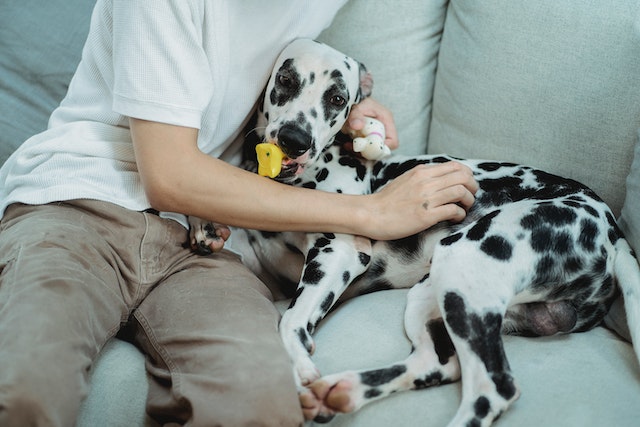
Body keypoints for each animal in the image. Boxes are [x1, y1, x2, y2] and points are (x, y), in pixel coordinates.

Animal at [189, 38, 640, 426]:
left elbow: (290, 320)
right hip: (435, 295)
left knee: (491, 389)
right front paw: (204, 224)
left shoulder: (338, 250)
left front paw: (297, 366)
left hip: (463, 267)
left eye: (338, 99)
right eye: (285, 79)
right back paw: (345, 389)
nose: (294, 139)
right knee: (435, 364)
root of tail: (613, 231)